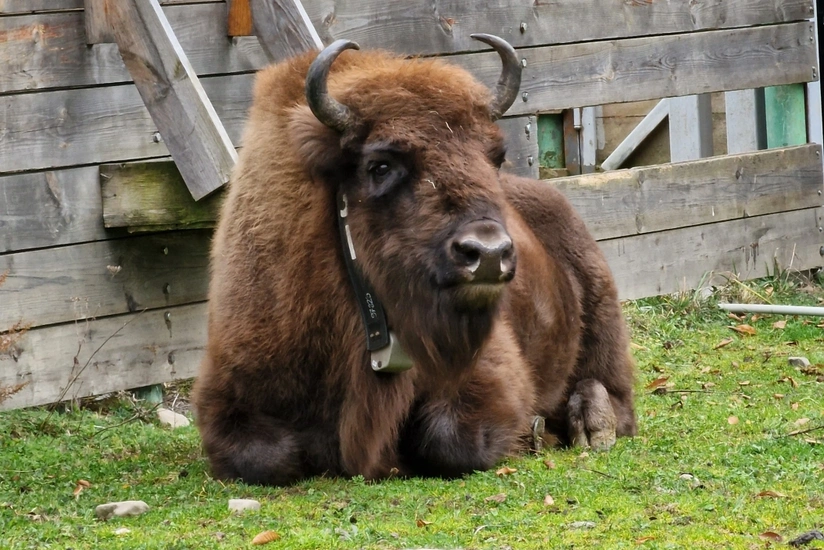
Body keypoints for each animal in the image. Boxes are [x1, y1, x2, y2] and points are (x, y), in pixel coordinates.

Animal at [193, 35, 637, 485]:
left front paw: (533, 435)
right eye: (380, 165)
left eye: (494, 156)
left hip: (600, 305)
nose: (488, 253)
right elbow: (263, 456)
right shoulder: (228, 391)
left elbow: (449, 439)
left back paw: (592, 424)